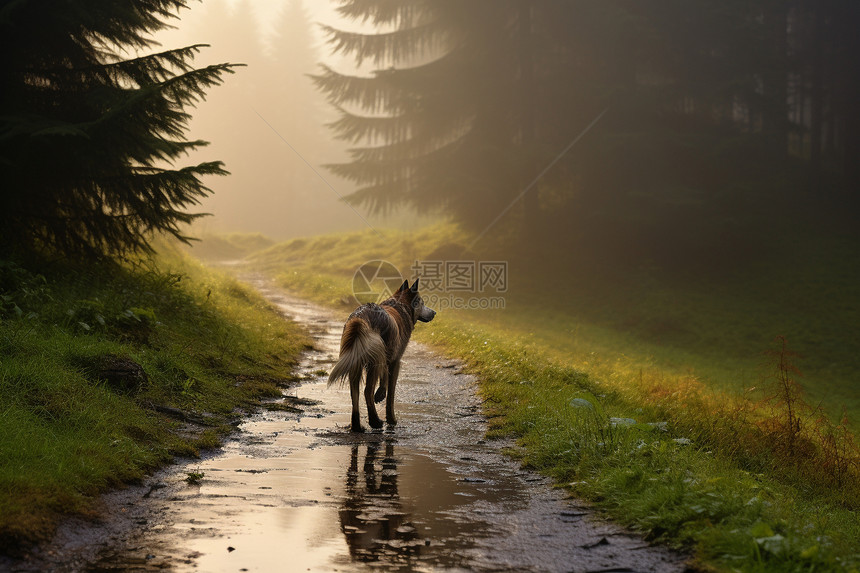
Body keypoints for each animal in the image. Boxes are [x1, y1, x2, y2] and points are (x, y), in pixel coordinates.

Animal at [330, 280, 436, 432]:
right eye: (422, 303)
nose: (434, 312)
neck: (400, 304)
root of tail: (361, 317)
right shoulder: (396, 361)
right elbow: (391, 394)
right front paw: (391, 419)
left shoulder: (385, 356)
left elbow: (384, 378)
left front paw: (380, 393)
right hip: (373, 362)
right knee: (367, 391)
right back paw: (375, 421)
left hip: (355, 361)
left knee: (354, 394)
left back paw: (357, 426)